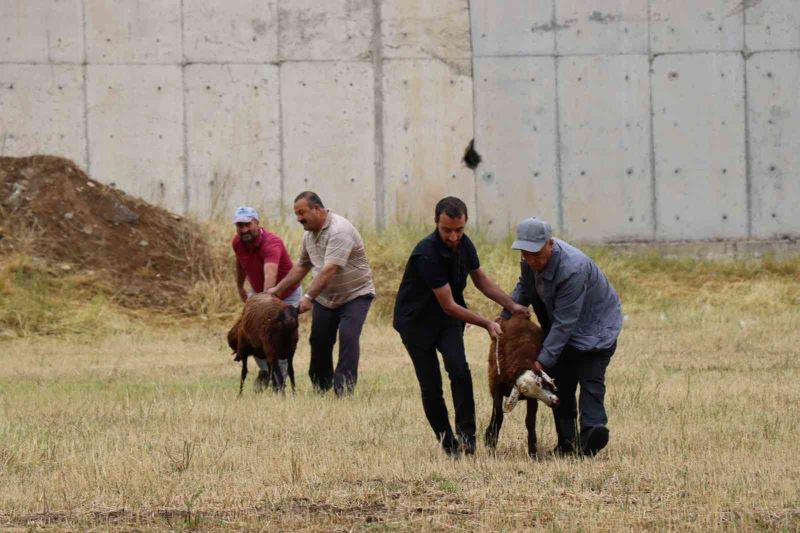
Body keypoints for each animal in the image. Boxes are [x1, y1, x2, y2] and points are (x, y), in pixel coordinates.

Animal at [484, 312, 560, 458]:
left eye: (543, 383)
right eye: (524, 390)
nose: (555, 402)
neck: (521, 361)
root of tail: (519, 315)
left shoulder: (532, 400)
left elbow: (530, 421)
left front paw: (533, 452)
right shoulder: (497, 388)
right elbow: (498, 415)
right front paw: (490, 444)